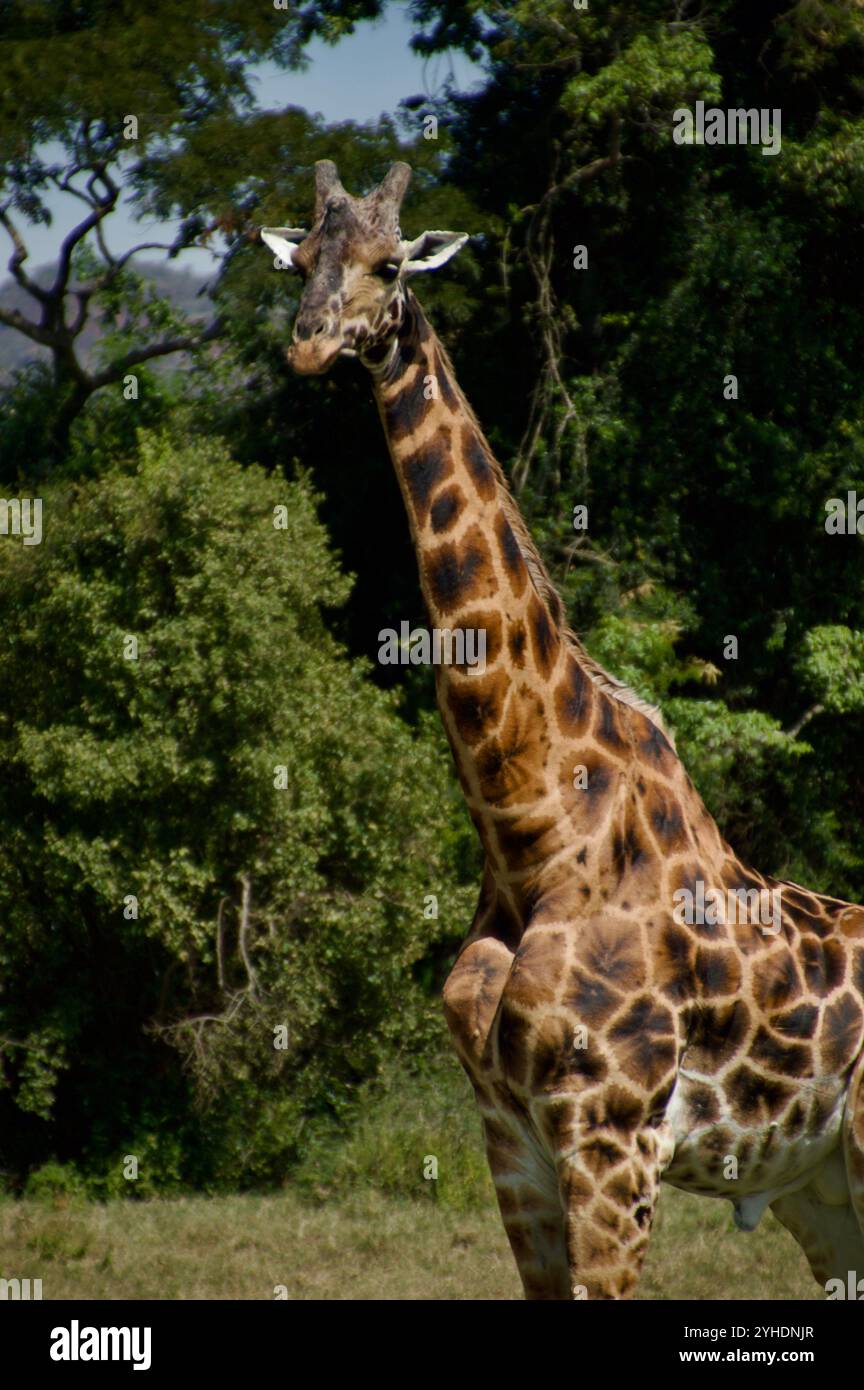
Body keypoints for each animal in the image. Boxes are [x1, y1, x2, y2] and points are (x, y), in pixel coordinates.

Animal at [261, 160, 864, 1300]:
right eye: (302, 259)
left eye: (390, 264)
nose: (311, 342)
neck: (530, 830)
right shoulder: (515, 1143)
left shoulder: (609, 1136)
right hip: (823, 1184)